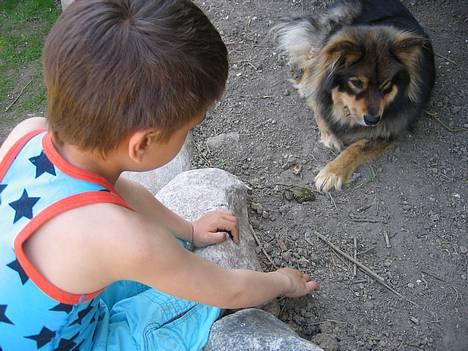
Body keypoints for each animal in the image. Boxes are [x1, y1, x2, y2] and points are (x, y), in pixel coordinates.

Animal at [274, 0, 436, 192]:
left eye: (386, 85)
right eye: (357, 83)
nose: (373, 120)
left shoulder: (389, 130)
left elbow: (357, 147)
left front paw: (332, 172)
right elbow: (320, 104)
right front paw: (330, 135)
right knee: (312, 65)